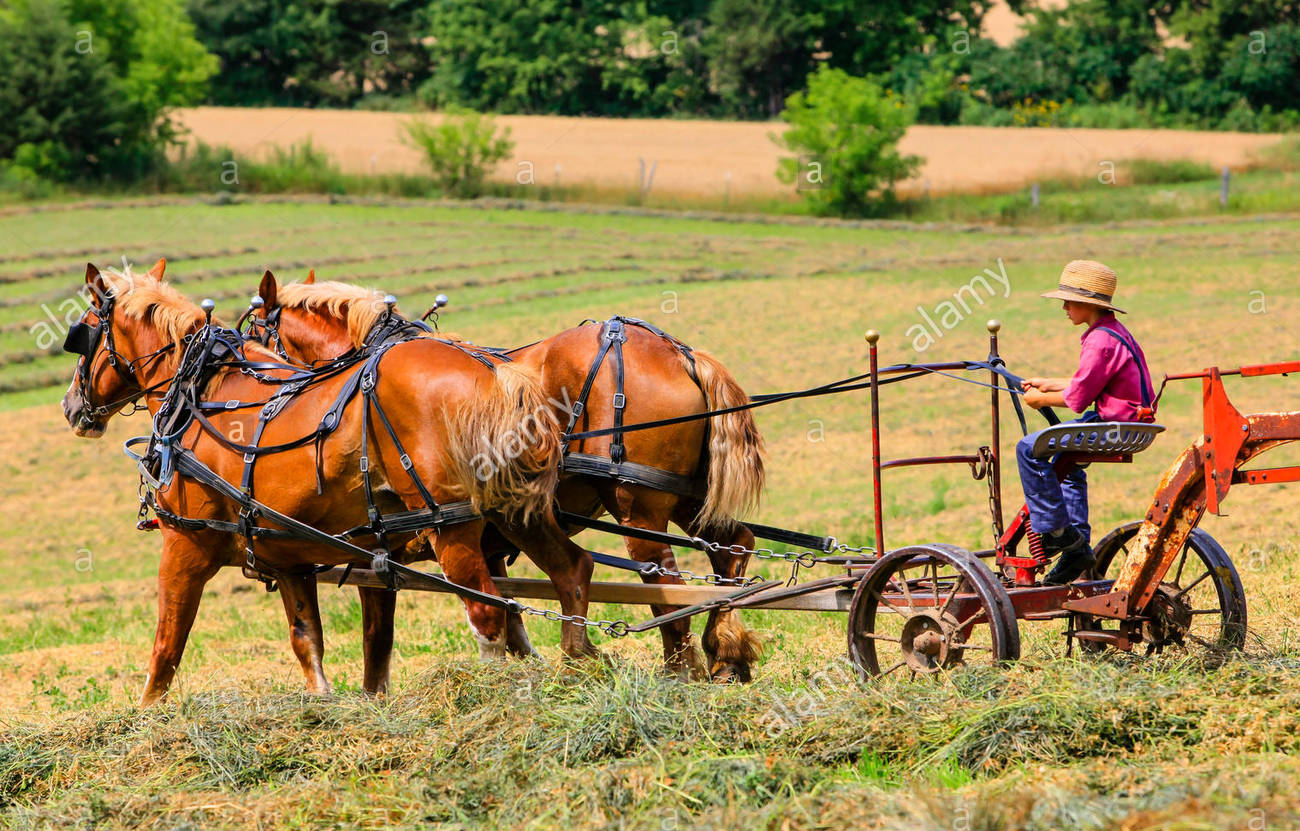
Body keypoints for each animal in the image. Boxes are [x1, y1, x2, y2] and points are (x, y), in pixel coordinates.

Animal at [61, 260, 598, 702]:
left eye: (83, 334)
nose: (70, 406)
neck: (200, 394)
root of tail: (494, 375)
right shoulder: (292, 557)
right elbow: (314, 643)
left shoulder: (185, 547)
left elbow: (165, 650)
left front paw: (144, 721)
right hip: (516, 512)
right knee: (570, 570)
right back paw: (578, 662)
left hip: (454, 529)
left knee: (488, 611)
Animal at [250, 273, 769, 681]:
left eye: (255, 332)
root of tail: (678, 352)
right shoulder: (493, 541)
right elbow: (512, 613)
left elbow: (394, 632)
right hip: (687, 497)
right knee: (732, 548)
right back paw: (725, 652)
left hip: (637, 507)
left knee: (666, 585)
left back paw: (679, 668)